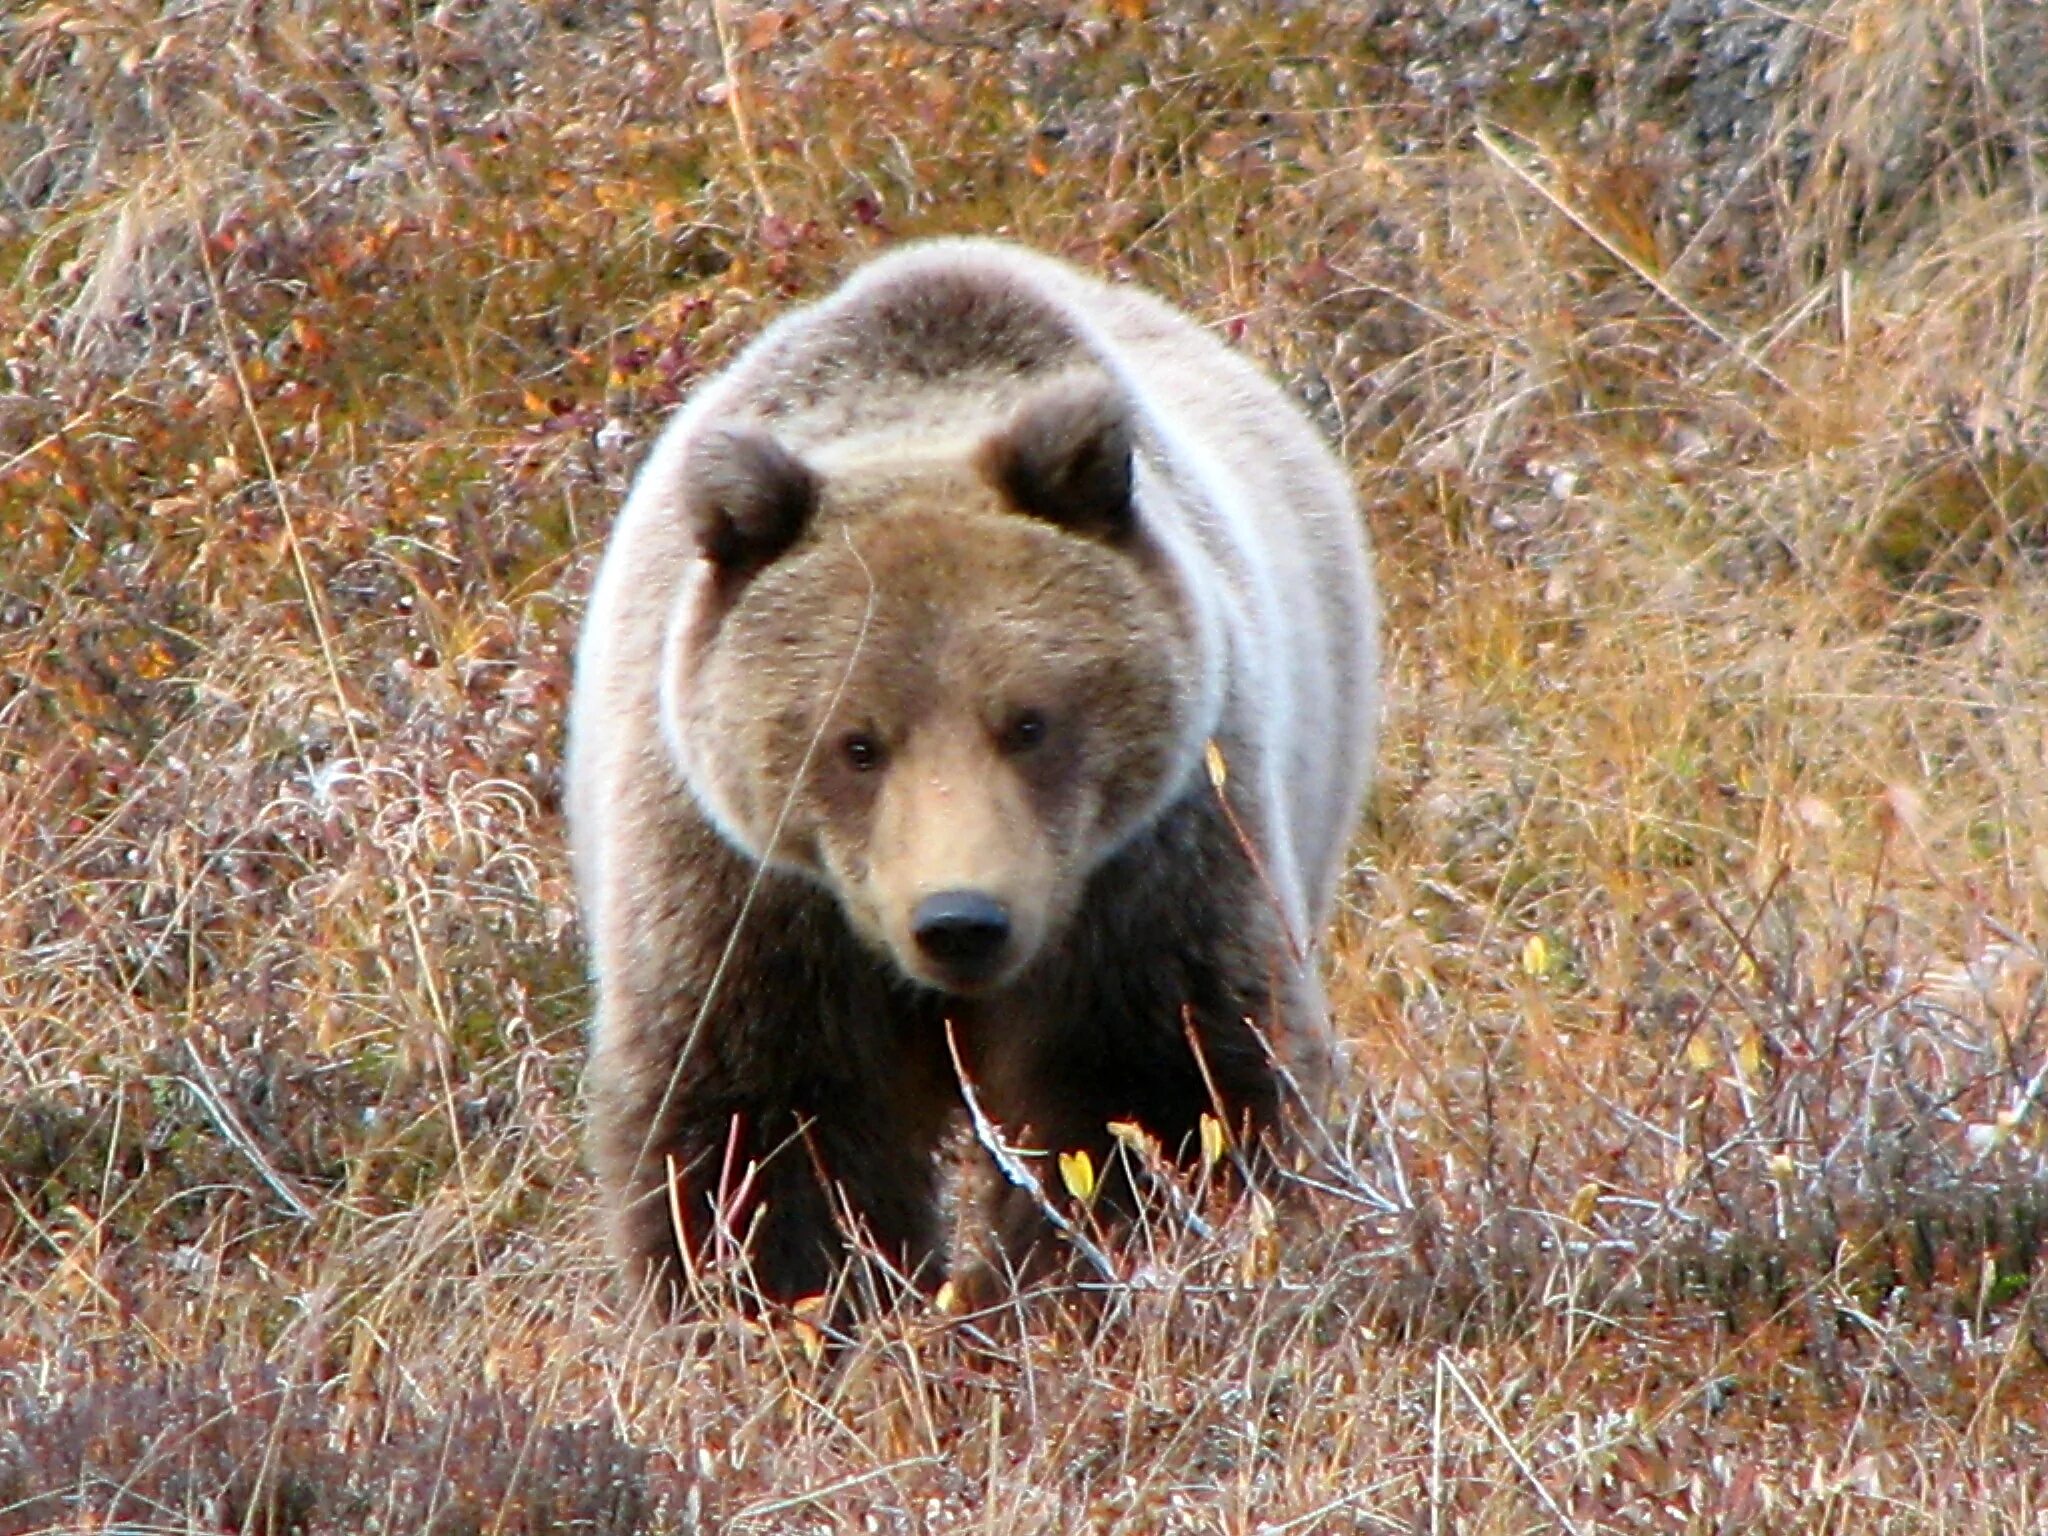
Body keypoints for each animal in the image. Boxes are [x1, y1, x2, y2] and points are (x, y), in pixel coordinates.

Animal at [569, 240, 1384, 1327]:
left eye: (1029, 722)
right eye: (855, 742)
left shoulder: (1150, 871)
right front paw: (789, 1309)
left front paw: (1075, 1291)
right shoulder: (750, 896)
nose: (961, 920)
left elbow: (1155, 1095)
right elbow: (763, 1130)